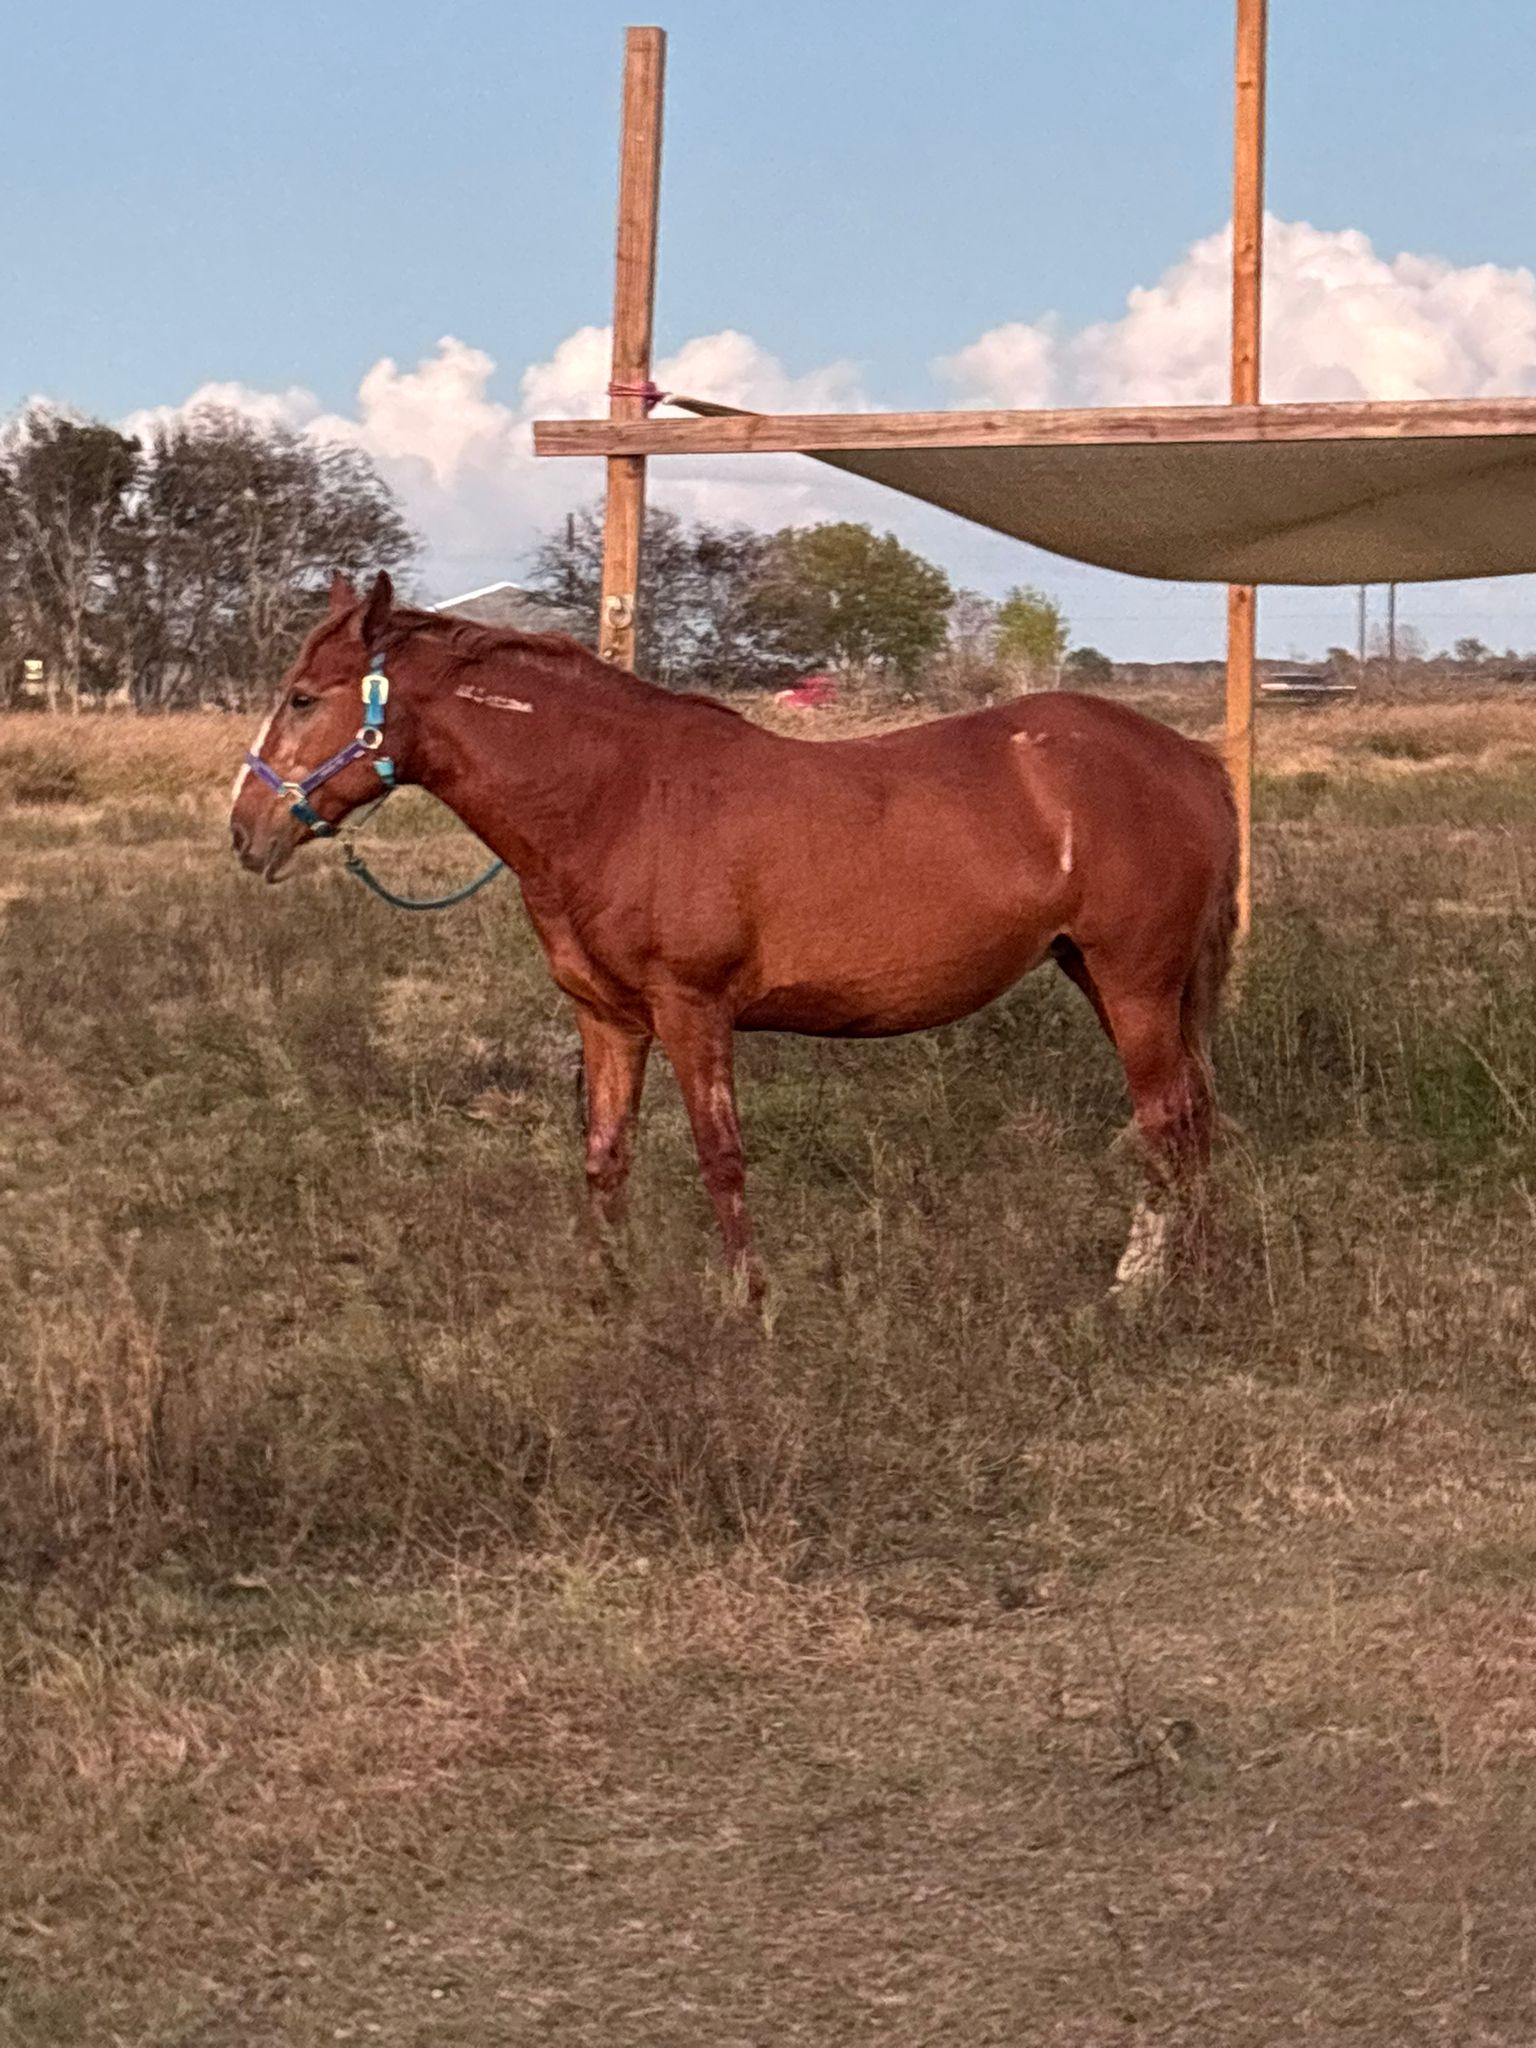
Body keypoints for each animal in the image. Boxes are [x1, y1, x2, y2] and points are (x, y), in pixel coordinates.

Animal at [231, 572, 1238, 1299]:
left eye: (304, 699)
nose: (246, 832)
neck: (620, 800)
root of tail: (1187, 757)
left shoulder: (693, 1013)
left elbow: (721, 1159)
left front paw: (749, 1306)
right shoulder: (608, 1021)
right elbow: (605, 1156)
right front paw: (611, 1295)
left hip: (1134, 984)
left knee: (1165, 1122)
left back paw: (1137, 1286)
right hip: (1106, 979)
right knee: (1193, 1119)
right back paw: (1192, 1277)